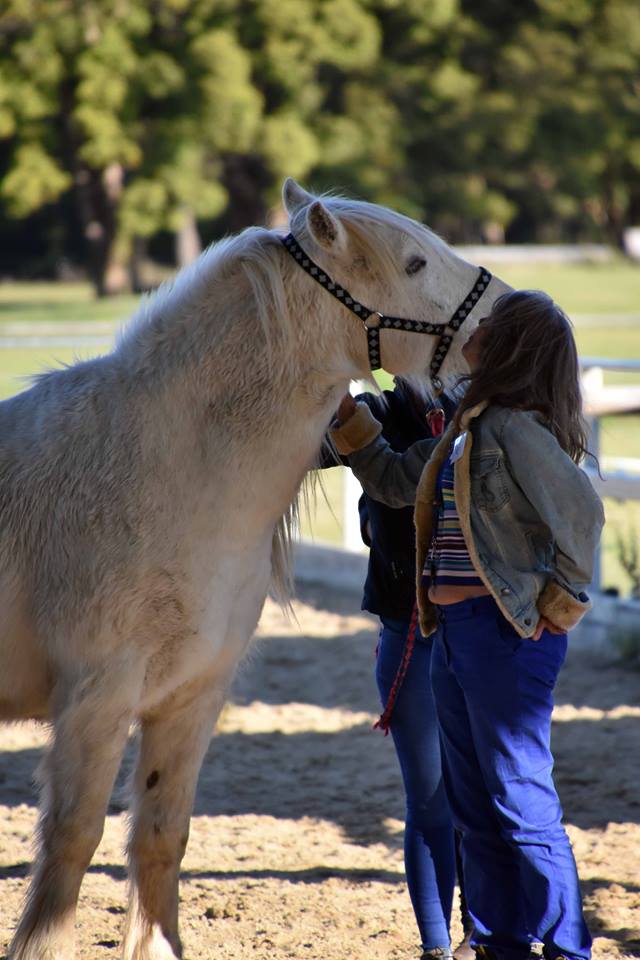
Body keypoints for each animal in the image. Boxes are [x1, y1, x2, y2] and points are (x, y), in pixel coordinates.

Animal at [0, 176, 510, 956]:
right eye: (416, 263)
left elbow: (161, 838)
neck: (163, 467)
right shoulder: (95, 701)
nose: (516, 316)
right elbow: (71, 847)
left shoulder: (191, 697)